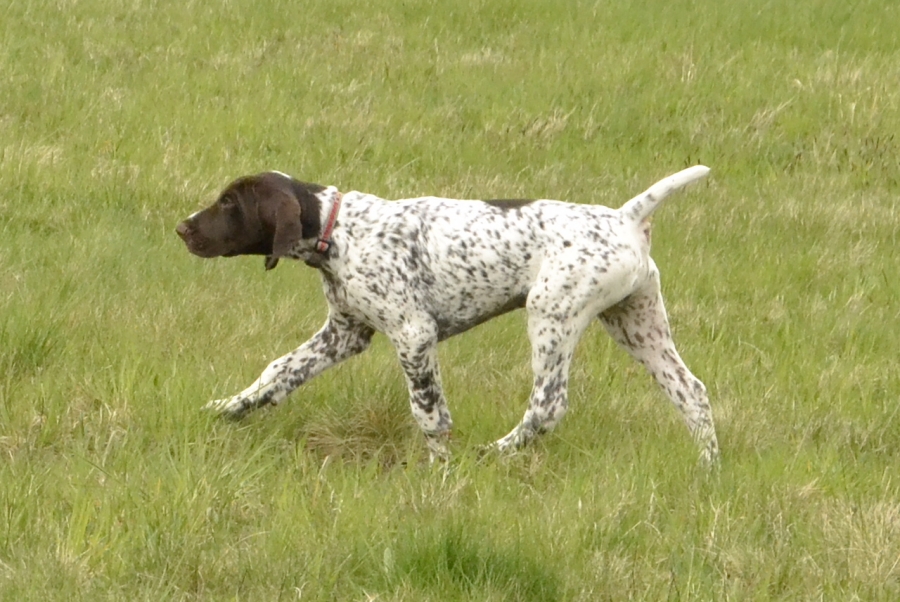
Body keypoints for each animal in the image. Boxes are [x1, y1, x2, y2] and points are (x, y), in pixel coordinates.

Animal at [176, 166, 719, 463]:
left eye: (229, 203)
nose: (182, 228)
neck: (340, 230)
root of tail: (625, 217)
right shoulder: (343, 334)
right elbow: (276, 374)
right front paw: (225, 409)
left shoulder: (413, 335)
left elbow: (429, 413)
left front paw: (441, 468)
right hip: (637, 324)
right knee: (693, 393)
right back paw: (708, 469)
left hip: (552, 314)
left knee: (547, 406)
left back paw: (496, 453)